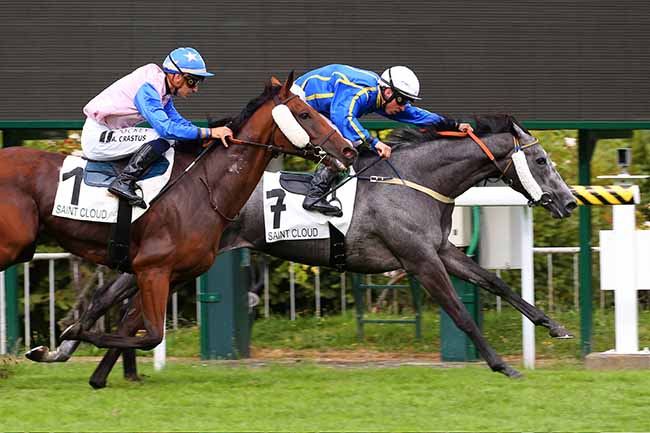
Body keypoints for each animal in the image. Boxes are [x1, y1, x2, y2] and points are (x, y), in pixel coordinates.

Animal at [0, 72, 356, 355]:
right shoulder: (152, 268)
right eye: (305, 113)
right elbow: (150, 336)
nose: (348, 149)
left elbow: (118, 314)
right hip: (13, 245)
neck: (204, 187)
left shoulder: (171, 273)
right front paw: (68, 335)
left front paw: (64, 340)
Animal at [28, 114, 577, 386]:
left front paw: (553, 326)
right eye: (542, 160)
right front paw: (501, 364)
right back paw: (73, 349)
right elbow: (462, 314)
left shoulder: (440, 251)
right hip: (177, 260)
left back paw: (87, 362)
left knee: (122, 307)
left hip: (175, 261)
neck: (412, 180)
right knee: (119, 306)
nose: (569, 201)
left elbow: (495, 281)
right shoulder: (419, 261)